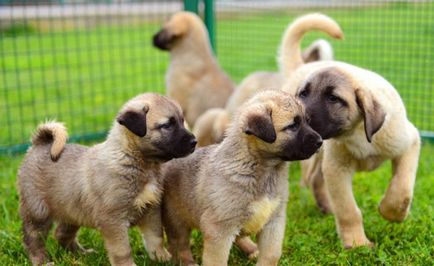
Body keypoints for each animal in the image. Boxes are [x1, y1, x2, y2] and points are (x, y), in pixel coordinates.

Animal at [17, 93, 197, 266]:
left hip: (72, 209)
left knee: (61, 234)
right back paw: (42, 261)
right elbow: (122, 250)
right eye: (167, 125)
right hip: (38, 212)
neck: (134, 159)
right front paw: (128, 265)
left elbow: (155, 238)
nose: (195, 142)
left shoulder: (151, 210)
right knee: (33, 240)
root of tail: (40, 143)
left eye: (182, 121)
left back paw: (81, 254)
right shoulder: (113, 221)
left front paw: (161, 257)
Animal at [147, 90, 320, 264]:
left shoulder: (274, 221)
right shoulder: (219, 229)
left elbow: (271, 254)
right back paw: (188, 262)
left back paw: (252, 249)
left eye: (307, 121)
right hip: (177, 219)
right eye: (293, 126)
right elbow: (217, 261)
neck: (261, 169)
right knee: (180, 246)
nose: (319, 141)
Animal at [284, 61, 420, 248]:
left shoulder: (409, 142)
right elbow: (347, 210)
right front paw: (357, 244)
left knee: (315, 178)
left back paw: (327, 208)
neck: (358, 131)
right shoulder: (337, 168)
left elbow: (403, 188)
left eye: (333, 98)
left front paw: (392, 213)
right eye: (303, 94)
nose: (297, 120)